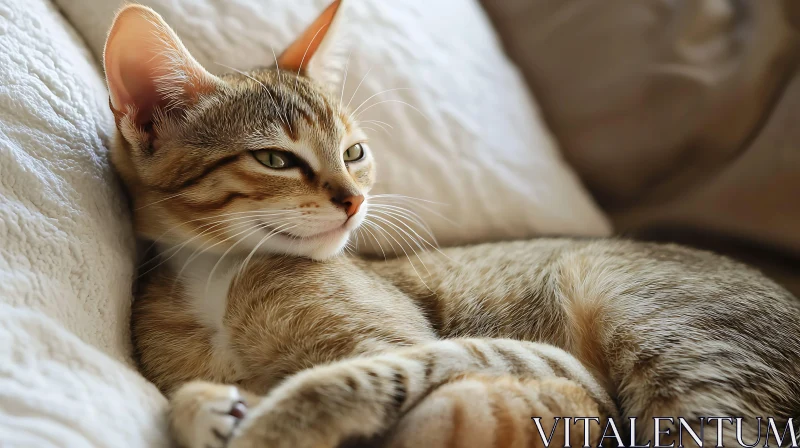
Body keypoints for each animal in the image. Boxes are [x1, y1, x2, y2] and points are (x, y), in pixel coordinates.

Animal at [101, 2, 800, 448]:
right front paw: (210, 407)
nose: (353, 201)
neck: (218, 277)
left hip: (680, 343)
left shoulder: (398, 348)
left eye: (353, 152)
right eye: (276, 158)